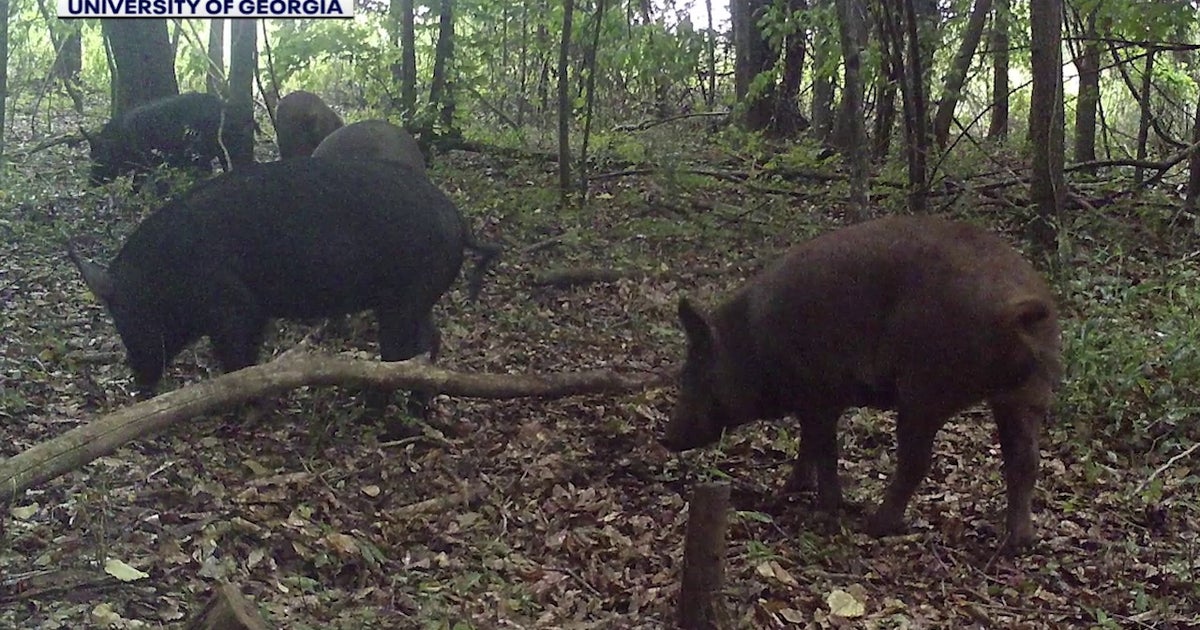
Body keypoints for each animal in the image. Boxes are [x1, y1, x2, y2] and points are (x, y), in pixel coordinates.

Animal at [67, 159, 498, 407]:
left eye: (127, 319)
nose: (139, 385)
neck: (168, 272)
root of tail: (458, 220)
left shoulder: (234, 307)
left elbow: (235, 359)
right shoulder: (254, 312)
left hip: (403, 299)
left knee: (397, 356)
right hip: (419, 296)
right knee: (430, 343)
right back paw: (420, 409)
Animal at [83, 92, 228, 185]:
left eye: (103, 158)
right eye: (91, 156)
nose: (91, 182)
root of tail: (218, 101)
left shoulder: (146, 161)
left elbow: (137, 184)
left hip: (207, 140)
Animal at [663, 216, 1062, 549]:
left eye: (693, 372)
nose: (666, 438)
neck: (752, 342)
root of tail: (1019, 306)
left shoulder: (819, 392)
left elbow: (824, 448)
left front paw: (825, 506)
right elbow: (809, 444)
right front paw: (791, 488)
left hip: (926, 388)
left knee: (916, 460)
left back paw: (876, 525)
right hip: (1028, 393)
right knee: (1025, 460)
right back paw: (1019, 543)